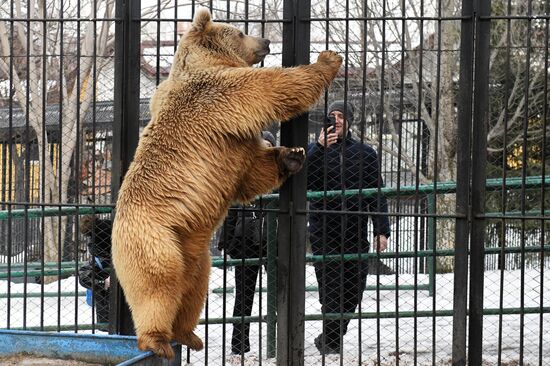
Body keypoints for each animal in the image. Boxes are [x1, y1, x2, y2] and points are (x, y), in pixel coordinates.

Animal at [110, 7, 342, 358]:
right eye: (240, 31)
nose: (267, 40)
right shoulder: (221, 96)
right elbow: (274, 88)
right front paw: (327, 59)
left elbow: (250, 174)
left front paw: (291, 155)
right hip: (153, 240)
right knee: (158, 285)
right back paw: (158, 341)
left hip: (192, 250)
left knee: (194, 287)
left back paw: (189, 335)